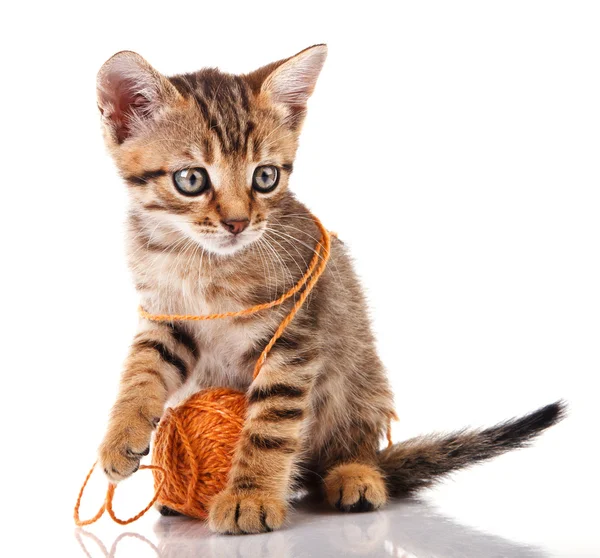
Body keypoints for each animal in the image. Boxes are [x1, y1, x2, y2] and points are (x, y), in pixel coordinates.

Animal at [96, 46, 564, 536]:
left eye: (265, 177)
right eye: (191, 180)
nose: (239, 223)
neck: (201, 261)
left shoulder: (292, 337)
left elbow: (271, 424)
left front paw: (250, 496)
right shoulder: (167, 318)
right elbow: (142, 370)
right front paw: (121, 434)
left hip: (357, 380)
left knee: (352, 447)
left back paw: (355, 475)